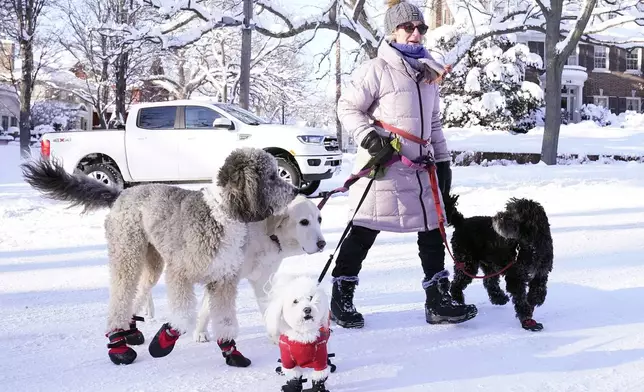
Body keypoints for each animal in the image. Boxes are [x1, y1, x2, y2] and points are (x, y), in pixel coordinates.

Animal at [442, 194, 552, 330]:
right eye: (507, 209)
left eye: (513, 214)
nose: (496, 217)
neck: (530, 246)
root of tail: (462, 221)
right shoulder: (515, 277)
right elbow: (520, 299)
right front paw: (527, 318)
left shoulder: (541, 272)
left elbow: (539, 288)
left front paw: (535, 299)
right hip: (467, 262)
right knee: (456, 283)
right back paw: (459, 301)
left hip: (489, 264)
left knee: (489, 282)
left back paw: (499, 298)